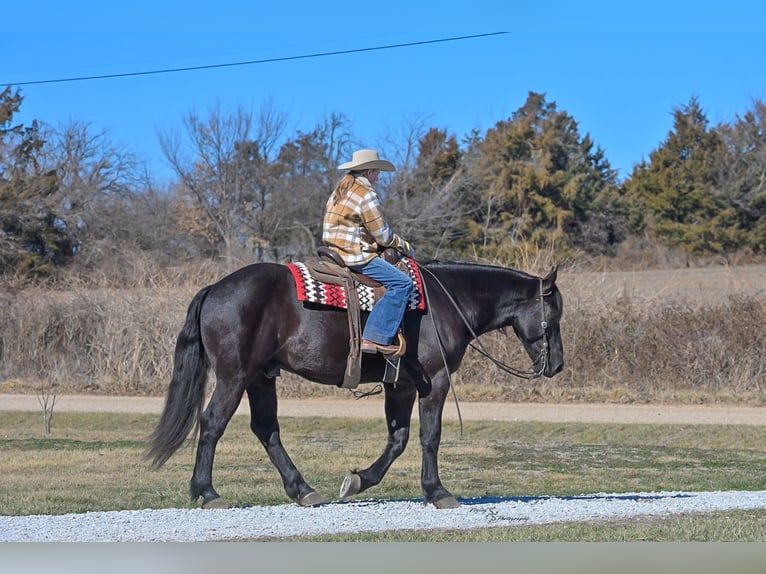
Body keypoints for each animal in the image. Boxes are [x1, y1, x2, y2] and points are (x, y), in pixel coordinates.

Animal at [146, 259, 564, 509]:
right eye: (554, 314)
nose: (557, 365)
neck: (449, 301)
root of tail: (216, 288)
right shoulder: (435, 380)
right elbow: (430, 436)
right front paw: (437, 491)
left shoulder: (401, 386)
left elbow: (398, 439)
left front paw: (359, 480)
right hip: (234, 377)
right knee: (212, 424)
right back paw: (207, 491)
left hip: (261, 378)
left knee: (267, 430)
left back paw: (303, 490)